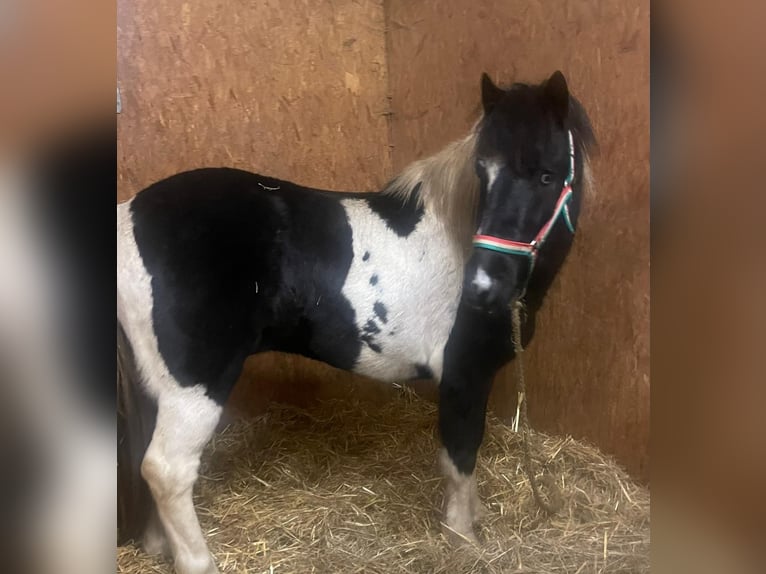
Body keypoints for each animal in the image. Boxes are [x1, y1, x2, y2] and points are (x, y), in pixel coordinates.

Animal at [117, 72, 596, 574]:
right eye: (482, 173)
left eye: (546, 175)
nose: (482, 287)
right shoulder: (463, 376)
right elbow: (460, 456)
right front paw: (462, 535)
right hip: (194, 387)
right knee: (166, 470)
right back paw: (197, 560)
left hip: (155, 384)